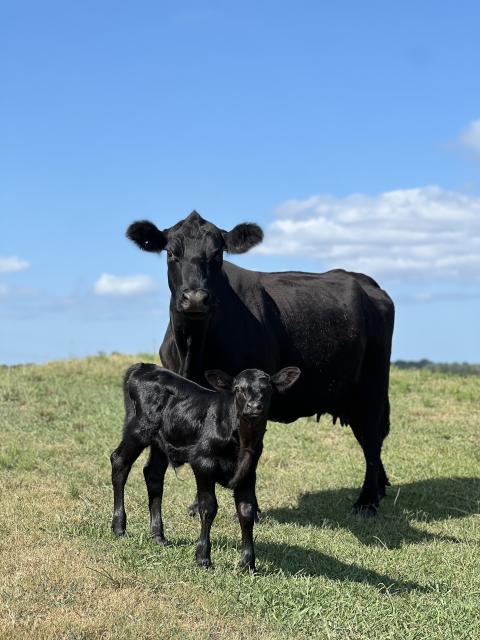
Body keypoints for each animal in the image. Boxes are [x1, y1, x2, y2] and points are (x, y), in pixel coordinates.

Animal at [111, 363, 301, 570]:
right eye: (237, 389)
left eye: (267, 389)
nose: (253, 406)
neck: (243, 442)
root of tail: (144, 366)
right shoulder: (203, 464)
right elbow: (208, 508)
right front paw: (203, 557)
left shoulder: (249, 472)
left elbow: (246, 511)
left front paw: (248, 563)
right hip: (138, 430)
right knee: (119, 462)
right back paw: (119, 527)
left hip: (160, 441)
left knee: (153, 474)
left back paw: (158, 536)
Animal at [126, 210, 395, 517]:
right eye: (171, 253)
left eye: (217, 254)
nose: (195, 298)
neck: (193, 350)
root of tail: (367, 283)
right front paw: (197, 504)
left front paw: (250, 508)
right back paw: (380, 489)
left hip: (372, 387)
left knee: (372, 440)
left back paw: (367, 501)